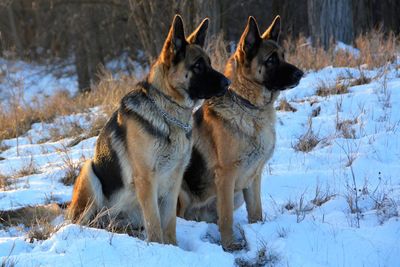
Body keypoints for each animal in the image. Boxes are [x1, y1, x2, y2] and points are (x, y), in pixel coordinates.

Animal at [68, 14, 228, 245]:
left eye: (210, 63)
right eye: (198, 66)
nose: (228, 82)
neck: (168, 113)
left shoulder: (173, 182)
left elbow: (168, 223)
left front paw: (173, 248)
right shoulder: (146, 181)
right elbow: (154, 225)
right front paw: (158, 247)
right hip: (89, 172)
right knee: (83, 221)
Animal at [178, 16, 304, 251]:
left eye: (283, 56)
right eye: (271, 60)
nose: (301, 73)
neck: (250, 107)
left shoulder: (254, 176)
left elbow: (256, 211)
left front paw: (257, 231)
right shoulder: (226, 177)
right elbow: (226, 216)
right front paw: (229, 245)